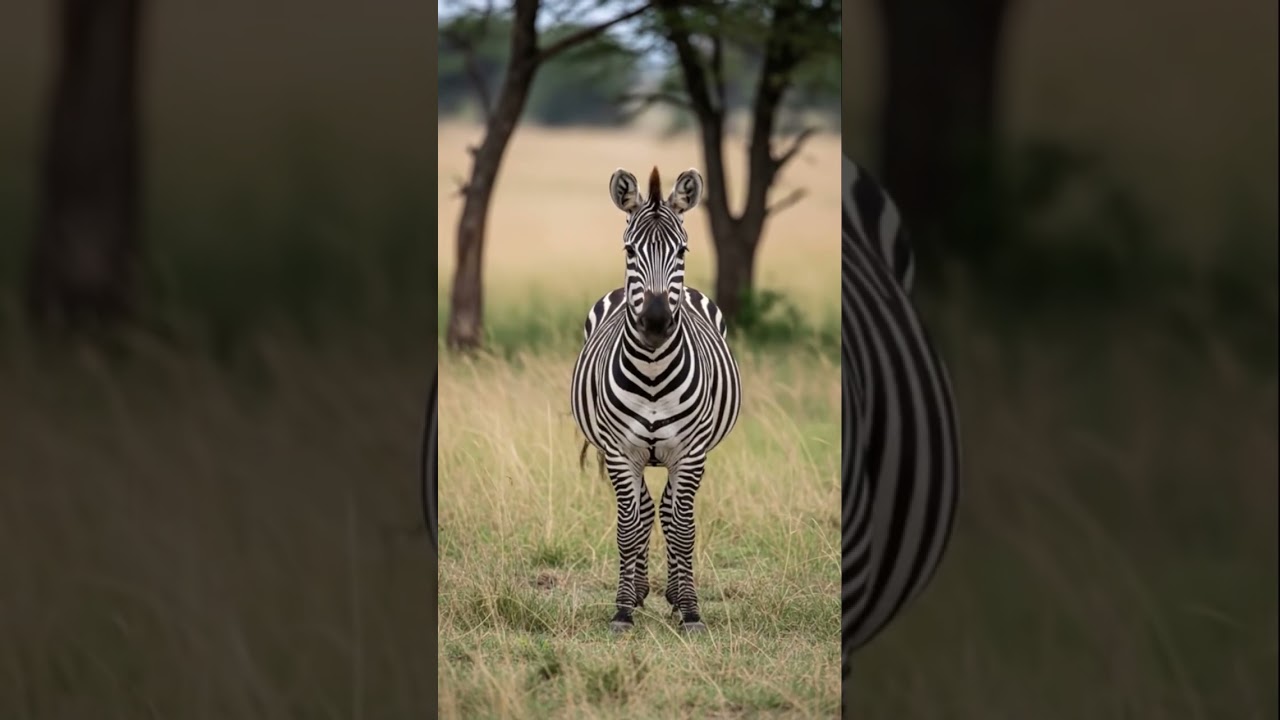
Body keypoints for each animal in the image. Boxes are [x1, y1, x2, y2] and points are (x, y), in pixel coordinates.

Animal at [570, 166, 742, 634]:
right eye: (629, 250)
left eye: (682, 250)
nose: (655, 321)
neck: (651, 374)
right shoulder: (618, 451)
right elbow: (629, 526)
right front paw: (623, 609)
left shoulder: (691, 452)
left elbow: (682, 527)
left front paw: (692, 611)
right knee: (647, 511)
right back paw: (642, 591)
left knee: (666, 511)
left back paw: (674, 596)